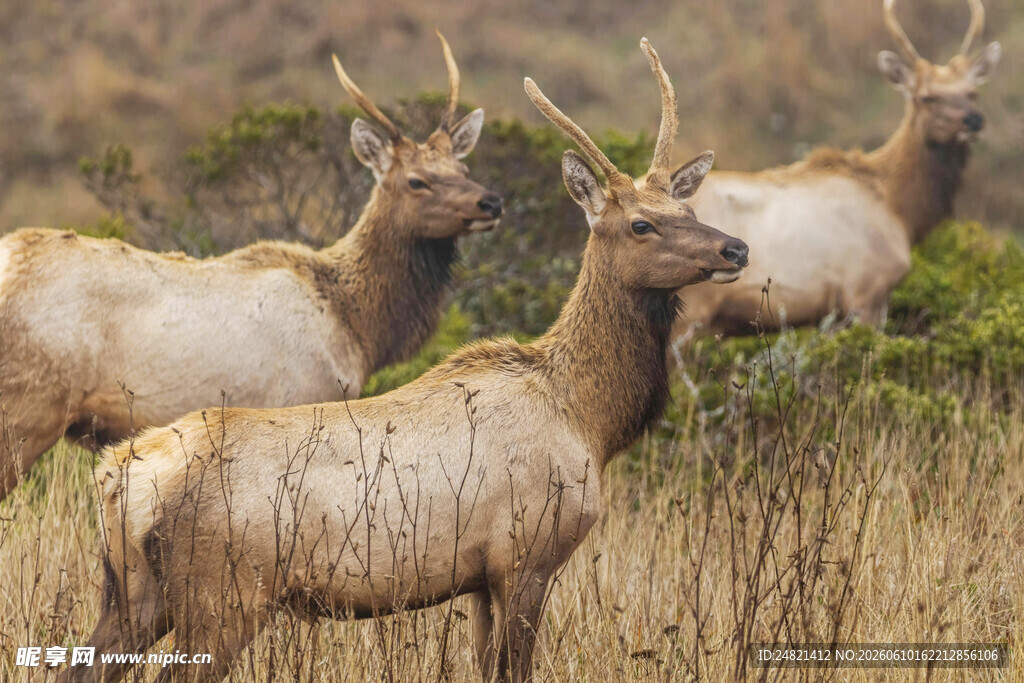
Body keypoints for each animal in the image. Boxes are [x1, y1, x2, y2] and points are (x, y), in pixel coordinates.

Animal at [0, 33, 503, 501]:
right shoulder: (305, 398)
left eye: (462, 166)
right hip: (27, 410)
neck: (357, 326)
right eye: (417, 181)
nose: (491, 201)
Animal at [58, 39, 747, 683]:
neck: (590, 420)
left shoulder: (478, 579)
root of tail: (119, 476)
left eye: (687, 209)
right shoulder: (525, 555)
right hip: (221, 594)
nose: (735, 248)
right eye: (640, 225)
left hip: (133, 596)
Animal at [676, 0, 1001, 338]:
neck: (901, 211)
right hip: (693, 308)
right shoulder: (865, 288)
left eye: (973, 92)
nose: (974, 120)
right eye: (926, 97)